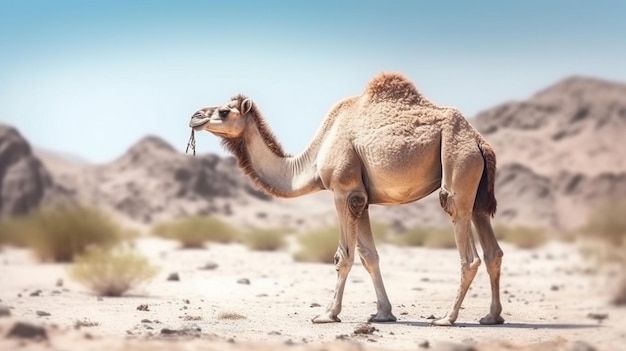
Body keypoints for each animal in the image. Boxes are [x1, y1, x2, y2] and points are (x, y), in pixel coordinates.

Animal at [188, 72, 504, 328]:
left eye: (224, 111)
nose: (195, 116)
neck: (314, 158)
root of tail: (479, 141)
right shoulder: (361, 198)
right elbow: (369, 256)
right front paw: (382, 314)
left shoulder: (344, 190)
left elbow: (344, 257)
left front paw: (327, 314)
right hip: (477, 190)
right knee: (493, 251)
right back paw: (491, 316)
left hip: (458, 168)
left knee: (467, 250)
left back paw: (447, 318)